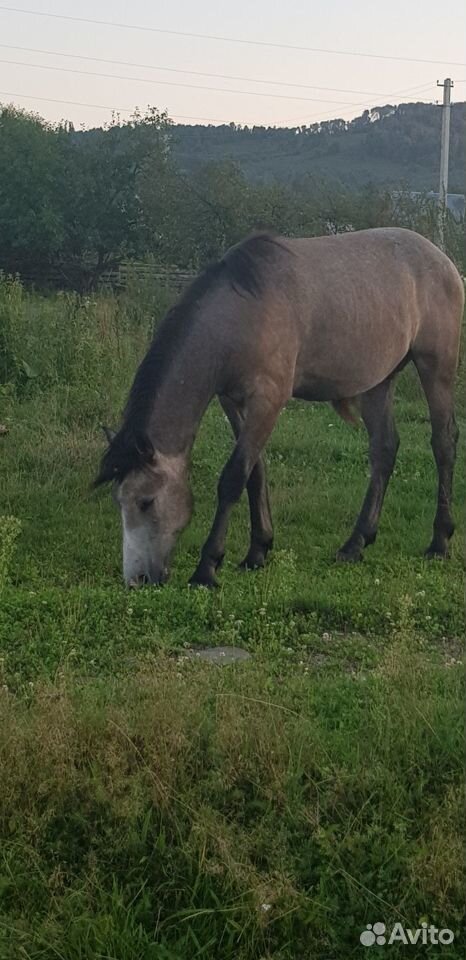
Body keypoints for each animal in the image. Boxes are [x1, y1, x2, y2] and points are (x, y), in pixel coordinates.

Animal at [94, 229, 462, 588]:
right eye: (118, 501)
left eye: (146, 501)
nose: (137, 580)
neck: (241, 315)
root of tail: (443, 261)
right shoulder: (233, 402)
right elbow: (255, 472)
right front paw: (258, 551)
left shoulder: (268, 401)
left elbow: (234, 477)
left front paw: (207, 567)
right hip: (378, 381)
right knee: (384, 450)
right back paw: (355, 543)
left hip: (435, 368)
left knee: (443, 443)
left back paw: (439, 541)